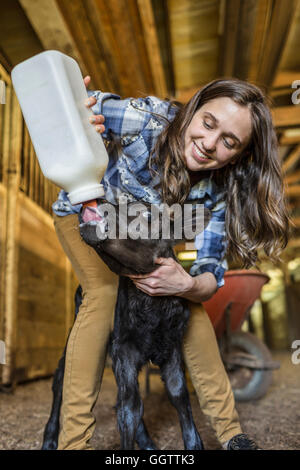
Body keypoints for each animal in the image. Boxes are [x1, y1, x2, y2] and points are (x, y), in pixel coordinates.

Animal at [42, 199, 210, 452]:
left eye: (147, 214)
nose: (100, 200)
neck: (152, 309)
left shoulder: (171, 347)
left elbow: (178, 394)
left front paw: (194, 443)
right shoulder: (124, 348)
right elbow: (130, 409)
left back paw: (148, 444)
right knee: (60, 383)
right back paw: (50, 439)